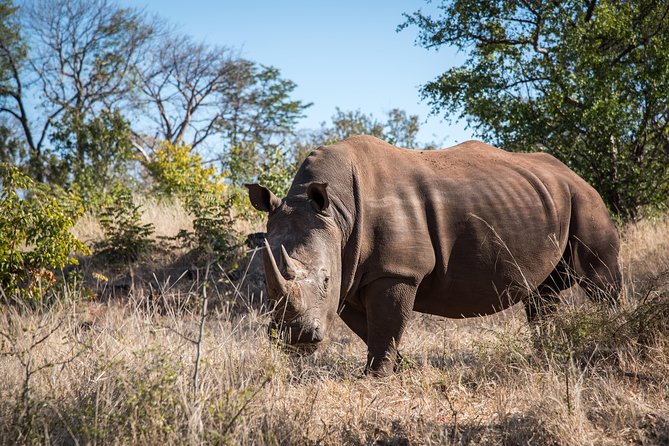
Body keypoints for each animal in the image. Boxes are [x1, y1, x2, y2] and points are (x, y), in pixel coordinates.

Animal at [246, 136, 621, 376]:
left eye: (325, 279)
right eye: (267, 286)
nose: (295, 338)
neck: (337, 214)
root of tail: (575, 174)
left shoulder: (395, 271)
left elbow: (386, 326)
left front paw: (376, 377)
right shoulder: (349, 276)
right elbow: (371, 329)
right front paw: (400, 369)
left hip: (586, 200)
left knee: (600, 282)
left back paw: (614, 341)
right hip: (547, 199)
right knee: (543, 295)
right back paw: (548, 355)